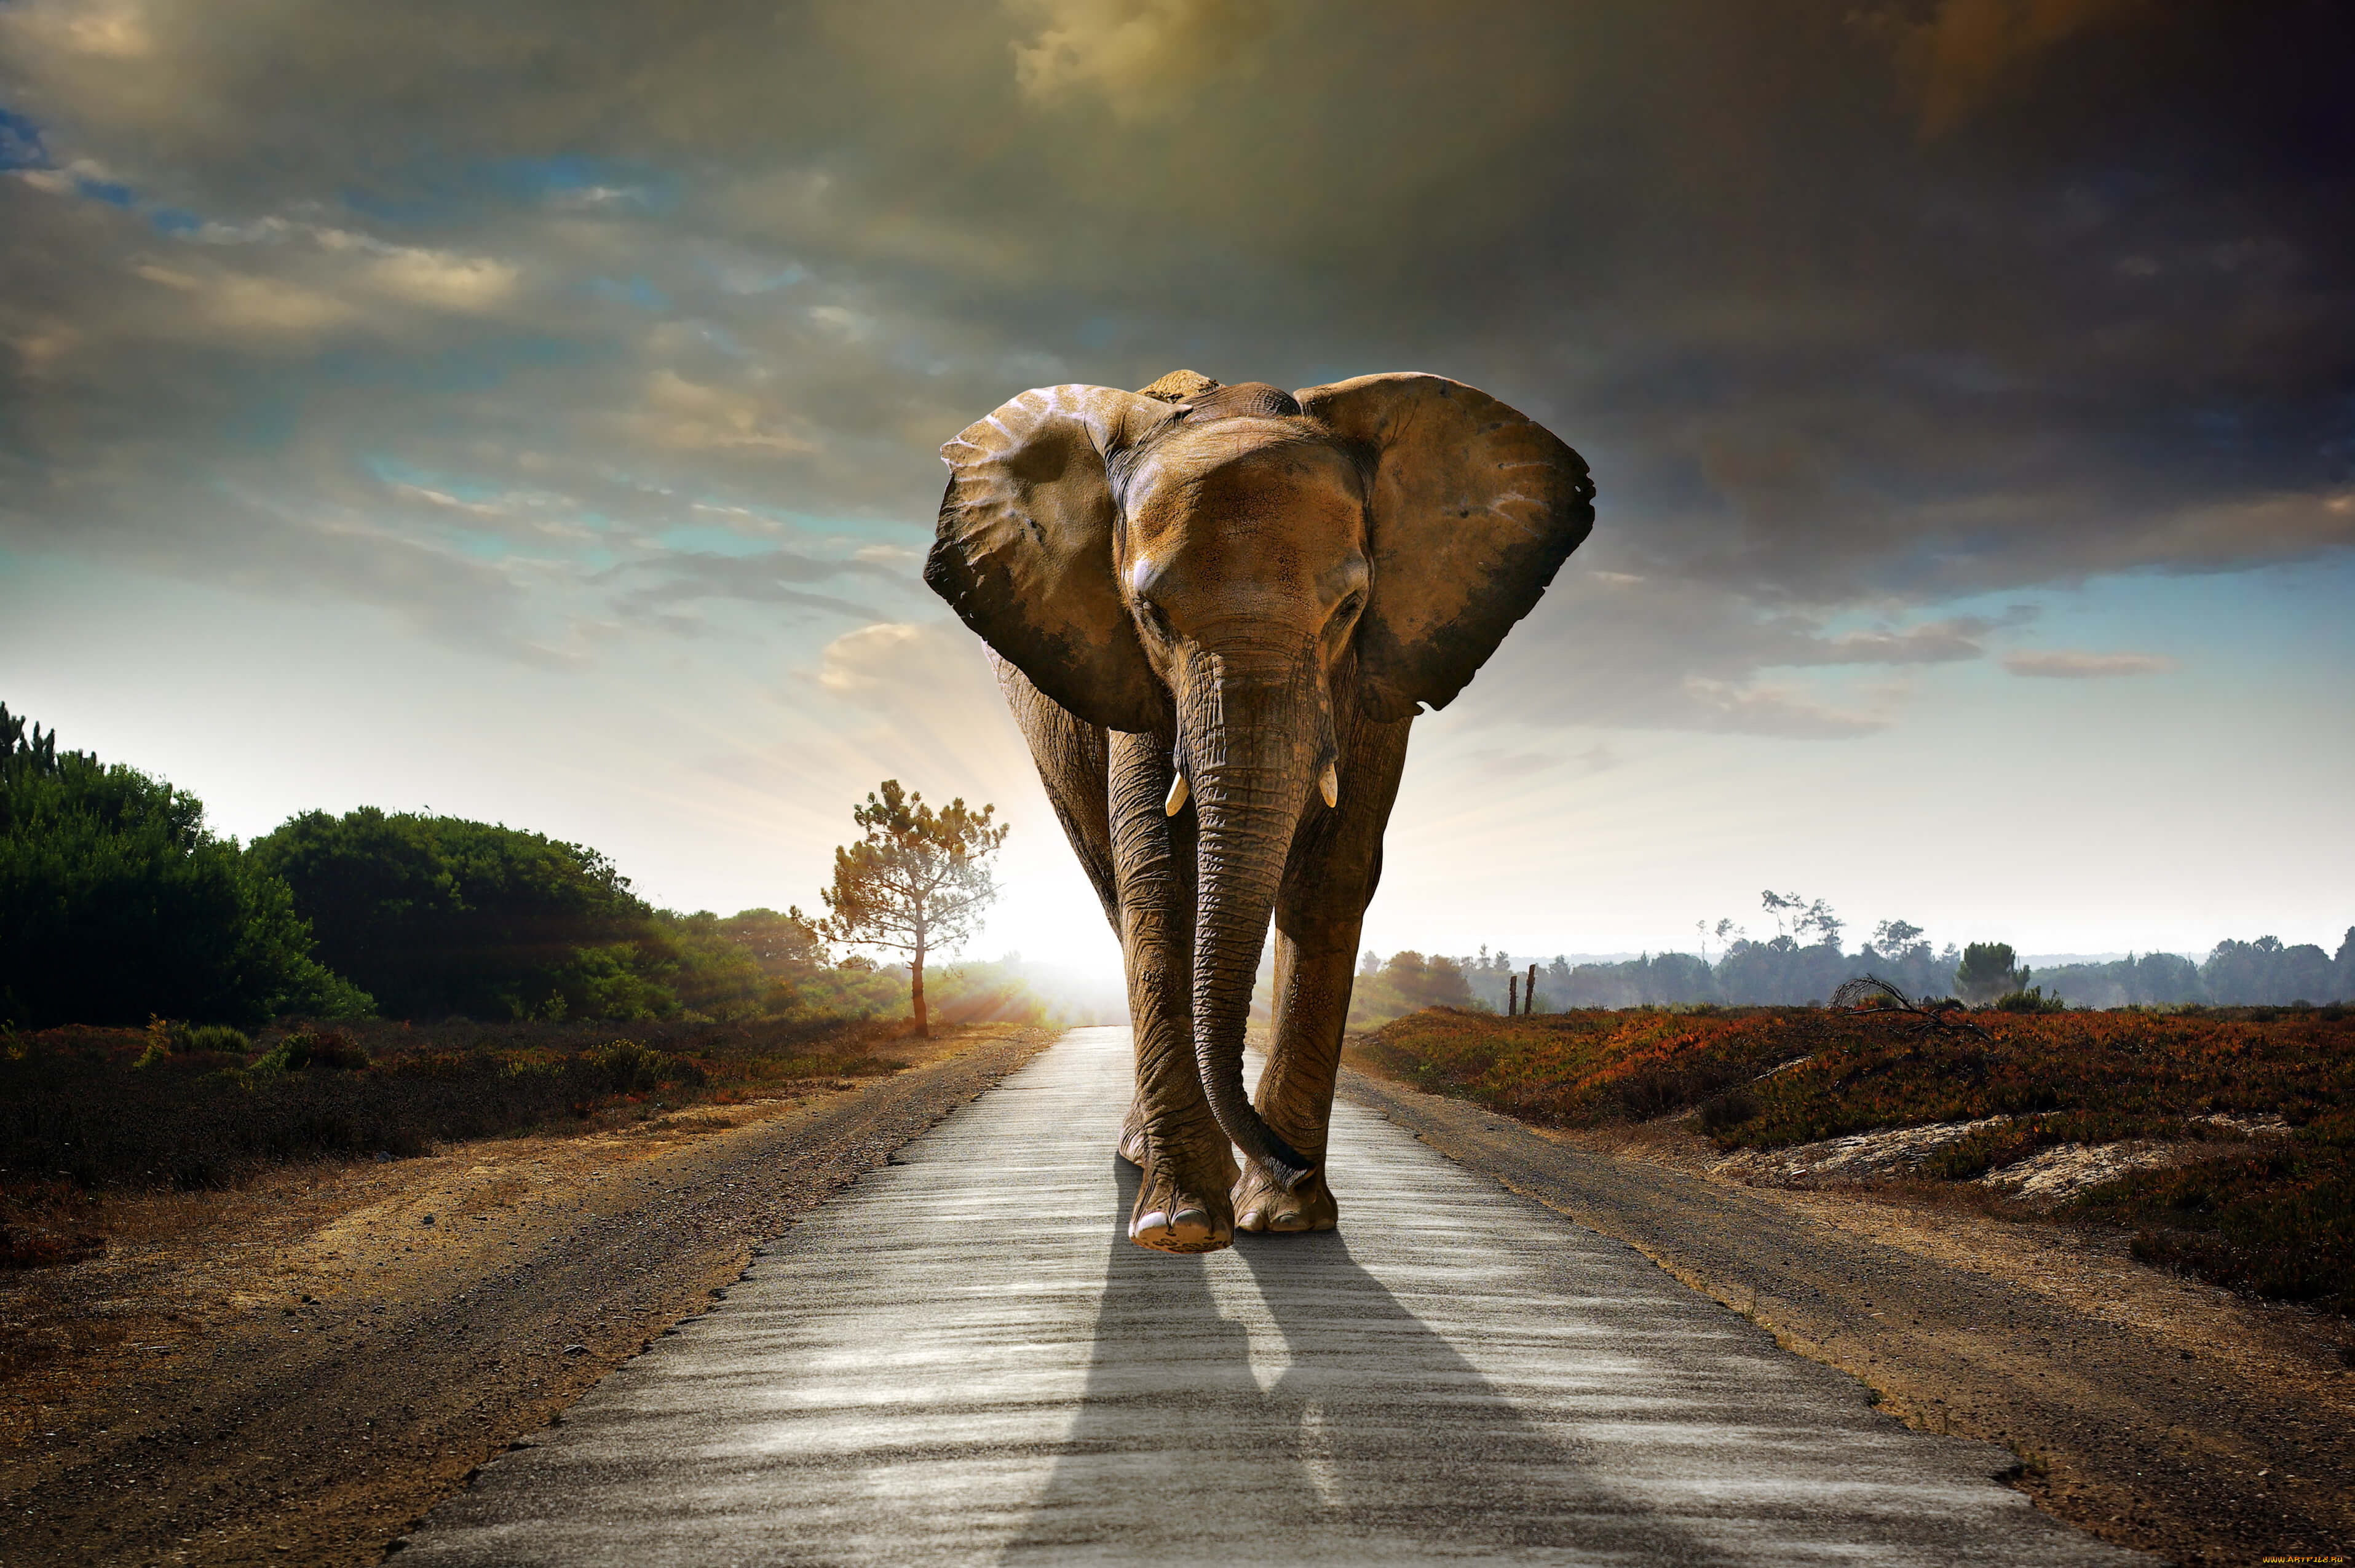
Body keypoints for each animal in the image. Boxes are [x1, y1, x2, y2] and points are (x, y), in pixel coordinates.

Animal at [925, 368, 1594, 1253]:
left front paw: (1285, 1218)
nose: (1291, 1162)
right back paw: (1144, 1159)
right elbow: (1160, 876)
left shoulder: (1375, 676)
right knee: (1113, 889)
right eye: (1151, 614)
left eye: (1348, 608)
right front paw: (1181, 1226)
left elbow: (1331, 875)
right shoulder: (1132, 677)